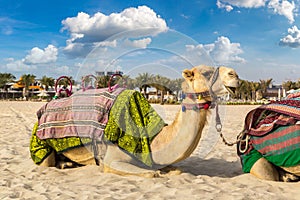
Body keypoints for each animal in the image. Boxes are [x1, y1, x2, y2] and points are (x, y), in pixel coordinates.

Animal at [29, 65, 238, 177]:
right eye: (207, 73)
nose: (235, 75)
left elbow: (175, 170)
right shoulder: (112, 159)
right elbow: (151, 173)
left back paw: (67, 163)